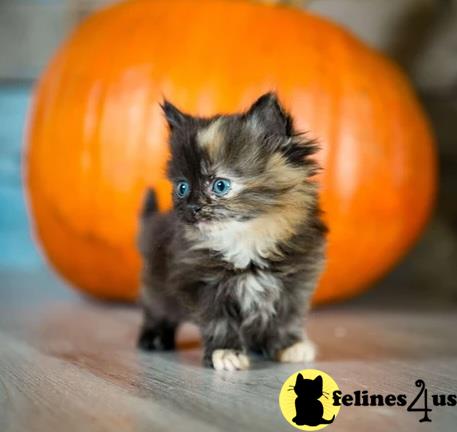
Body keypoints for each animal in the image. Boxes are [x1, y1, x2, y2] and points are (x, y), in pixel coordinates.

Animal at [137, 92, 326, 372]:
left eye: (220, 185)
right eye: (182, 188)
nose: (192, 208)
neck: (247, 241)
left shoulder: (295, 282)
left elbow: (285, 316)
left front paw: (289, 345)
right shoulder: (202, 284)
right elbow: (219, 321)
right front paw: (226, 351)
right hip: (157, 283)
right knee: (156, 309)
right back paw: (154, 337)